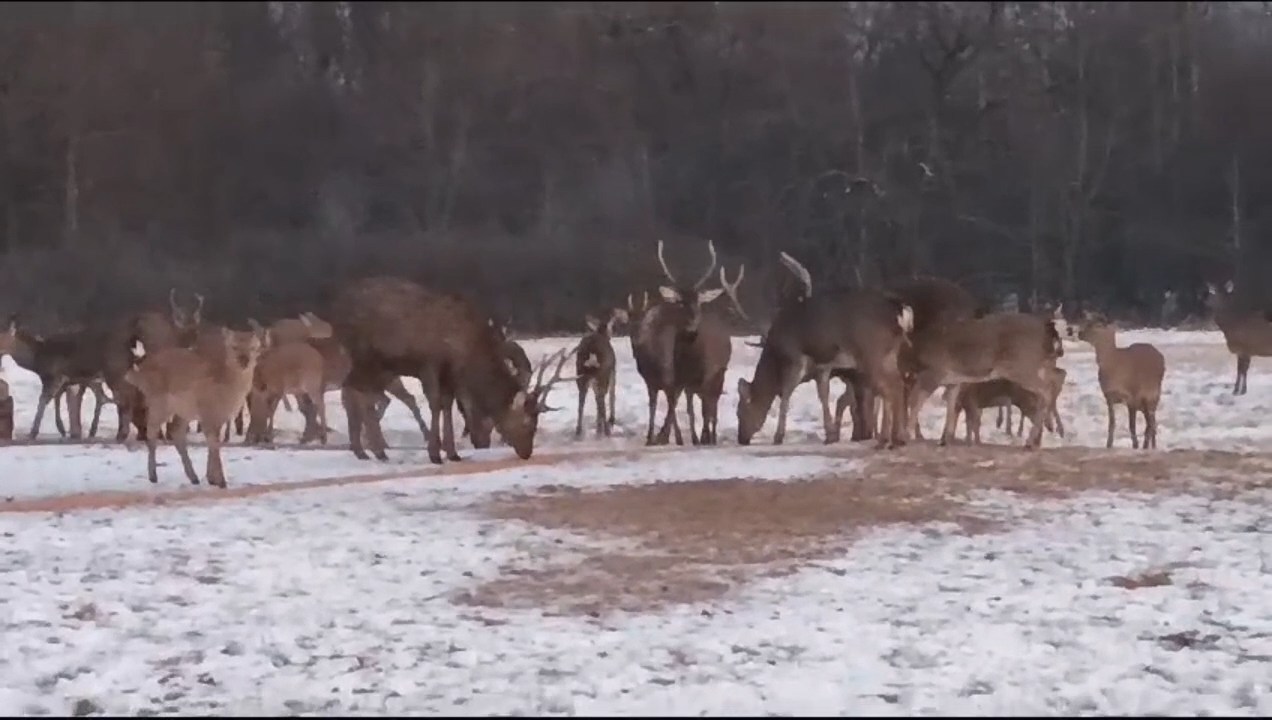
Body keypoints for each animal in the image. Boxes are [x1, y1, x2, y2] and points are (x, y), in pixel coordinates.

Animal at [124, 328, 263, 491]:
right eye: (234, 346)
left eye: (253, 348)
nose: (244, 361)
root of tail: (140, 372)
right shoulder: (208, 412)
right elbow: (214, 444)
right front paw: (221, 481)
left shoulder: (217, 417)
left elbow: (213, 444)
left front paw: (212, 479)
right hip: (159, 401)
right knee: (152, 431)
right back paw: (153, 476)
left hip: (183, 410)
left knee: (175, 432)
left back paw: (193, 477)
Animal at [328, 276, 572, 463]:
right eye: (527, 422)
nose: (527, 452)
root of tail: (336, 308)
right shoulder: (429, 364)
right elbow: (435, 403)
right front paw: (435, 453)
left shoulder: (451, 375)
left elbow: (446, 405)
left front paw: (452, 452)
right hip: (363, 356)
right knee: (356, 393)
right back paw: (372, 450)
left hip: (377, 366)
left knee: (358, 393)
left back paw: (368, 450)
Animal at [574, 309, 628, 440]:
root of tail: (591, 354)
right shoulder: (612, 371)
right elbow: (611, 395)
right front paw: (609, 421)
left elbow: (596, 400)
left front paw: (599, 426)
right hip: (603, 374)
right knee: (603, 400)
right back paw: (606, 430)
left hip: (582, 376)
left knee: (582, 403)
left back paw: (579, 431)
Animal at [737, 250, 915, 447]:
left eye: (740, 411)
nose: (741, 438)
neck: (775, 353)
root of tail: (900, 310)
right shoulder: (822, 366)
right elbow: (823, 394)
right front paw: (830, 435)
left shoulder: (795, 357)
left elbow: (786, 394)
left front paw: (778, 436)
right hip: (889, 353)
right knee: (898, 385)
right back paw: (895, 438)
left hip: (872, 351)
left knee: (891, 388)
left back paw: (890, 439)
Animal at [1073, 315, 1165, 452]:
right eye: (1087, 322)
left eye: (1097, 325)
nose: (1080, 333)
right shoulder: (1109, 396)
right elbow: (1112, 423)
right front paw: (1109, 445)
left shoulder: (1132, 396)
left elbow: (1132, 425)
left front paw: (1135, 446)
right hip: (1146, 401)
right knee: (1151, 423)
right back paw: (1150, 446)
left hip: (1152, 394)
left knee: (1151, 423)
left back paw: (1147, 446)